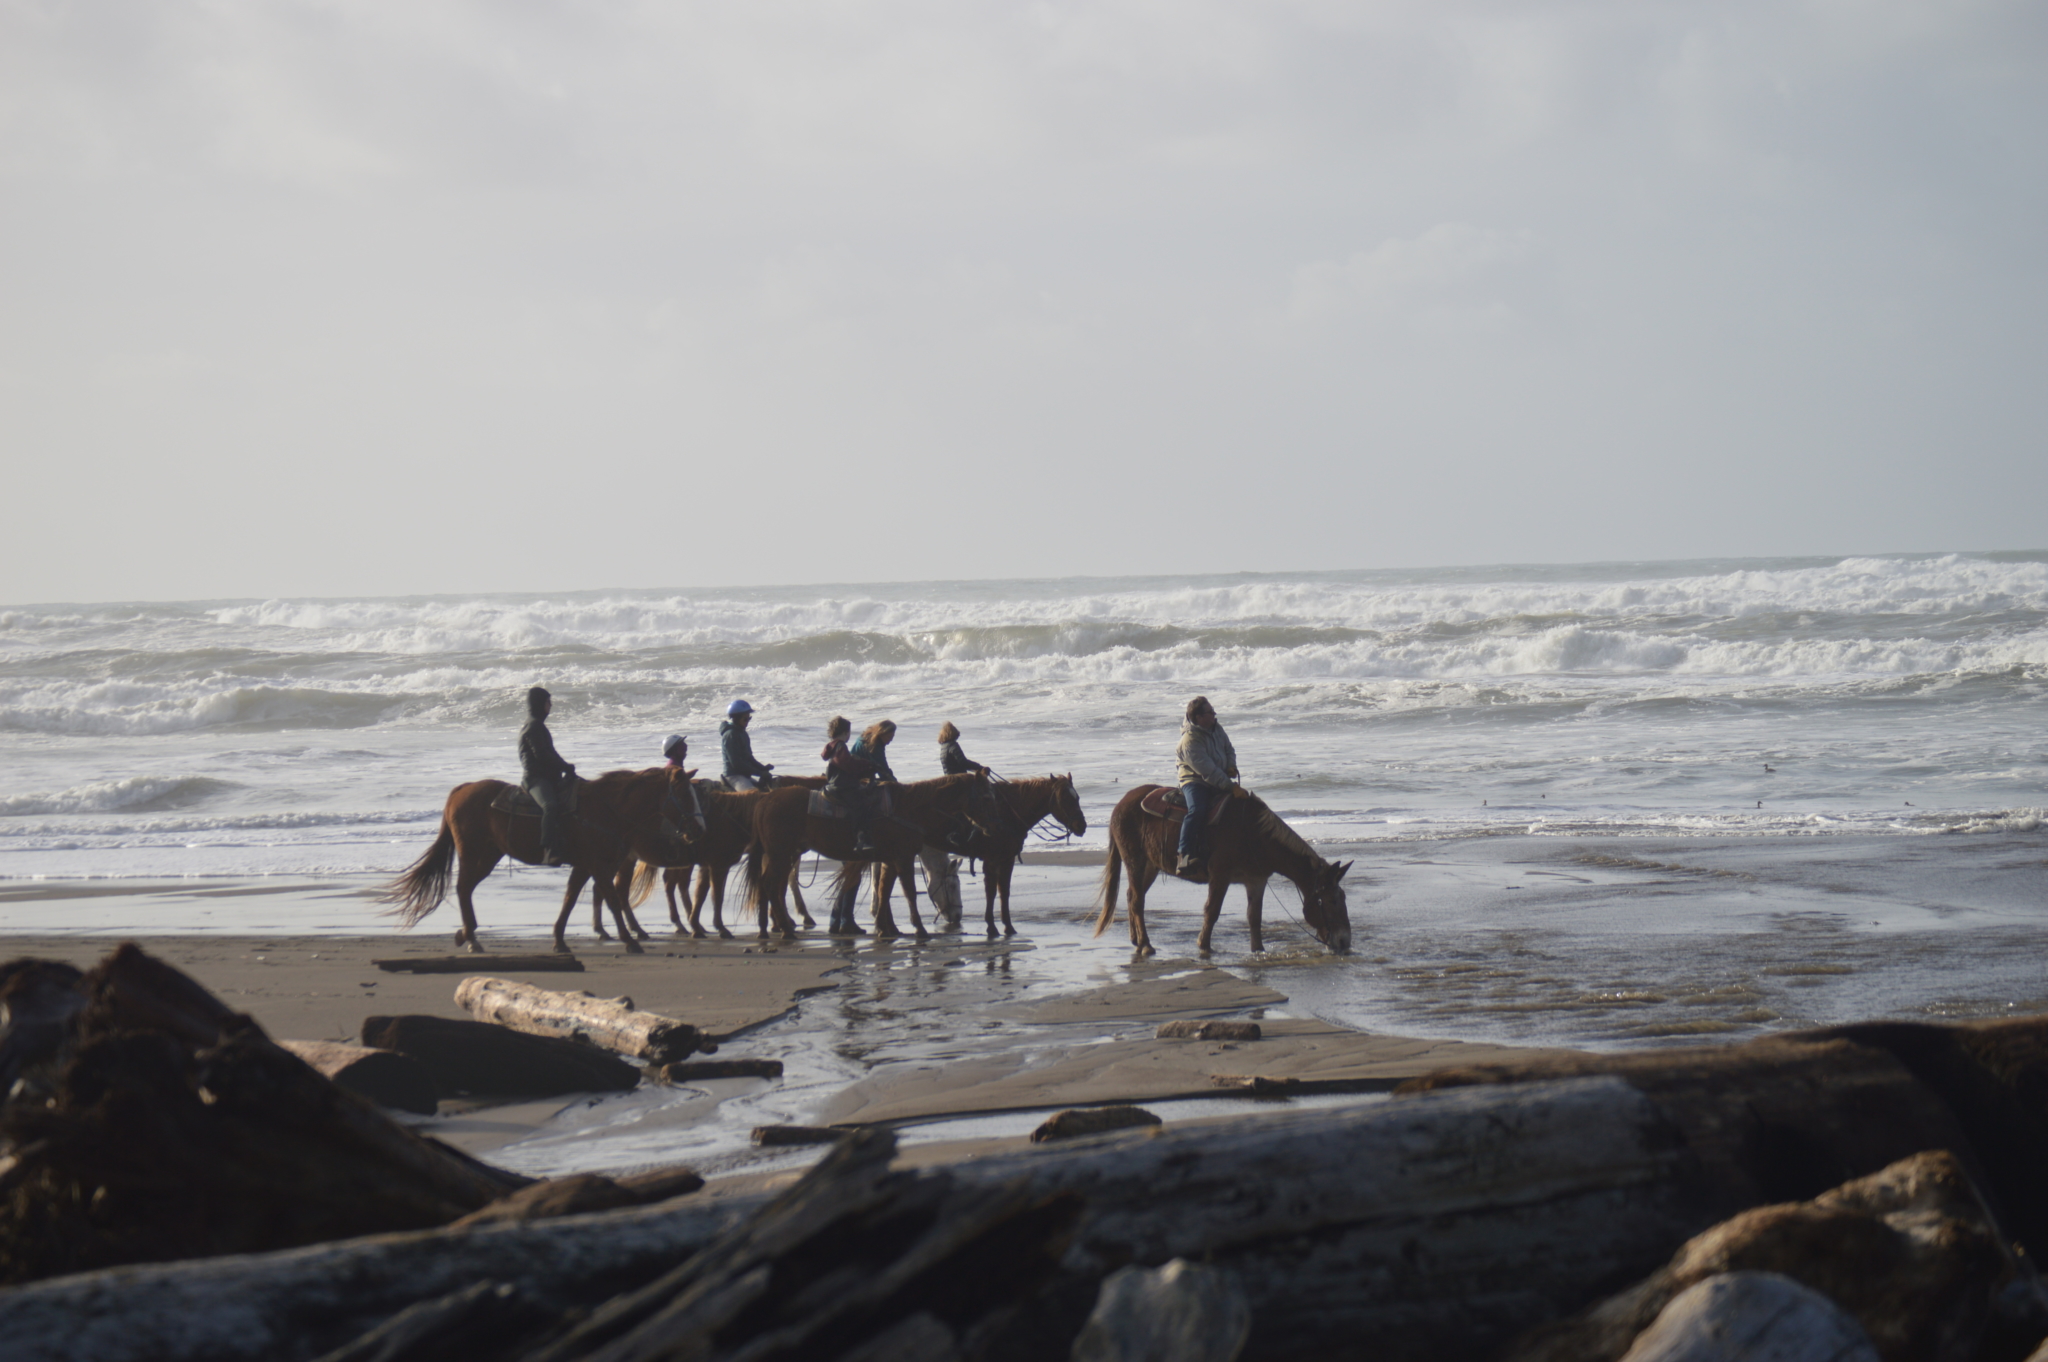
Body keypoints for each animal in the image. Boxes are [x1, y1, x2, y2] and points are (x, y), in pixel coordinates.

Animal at [382, 765, 704, 954]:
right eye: (684, 794)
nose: (699, 829)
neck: (608, 810)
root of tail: (462, 789)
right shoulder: (598, 866)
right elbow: (611, 899)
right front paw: (629, 940)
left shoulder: (584, 866)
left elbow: (571, 899)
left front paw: (559, 939)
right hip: (473, 853)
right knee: (463, 888)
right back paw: (471, 938)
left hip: (488, 856)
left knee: (467, 888)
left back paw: (467, 934)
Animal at [753, 770, 1007, 942]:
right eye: (986, 797)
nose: (956, 916)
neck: (910, 808)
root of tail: (765, 801)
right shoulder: (903, 858)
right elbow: (908, 892)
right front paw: (918, 929)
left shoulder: (888, 860)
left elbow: (884, 890)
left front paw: (885, 928)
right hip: (781, 854)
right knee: (772, 884)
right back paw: (786, 928)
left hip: (784, 854)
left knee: (771, 884)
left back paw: (772, 927)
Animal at [1097, 786, 1351, 954]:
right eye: (1331, 901)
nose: (1345, 941)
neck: (1254, 834)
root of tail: (1122, 802)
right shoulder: (1220, 876)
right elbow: (1212, 910)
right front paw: (1204, 945)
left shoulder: (1256, 880)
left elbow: (1254, 916)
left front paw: (1258, 950)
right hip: (1135, 860)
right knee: (1137, 900)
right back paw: (1146, 945)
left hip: (1151, 865)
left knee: (1132, 895)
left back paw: (1136, 939)